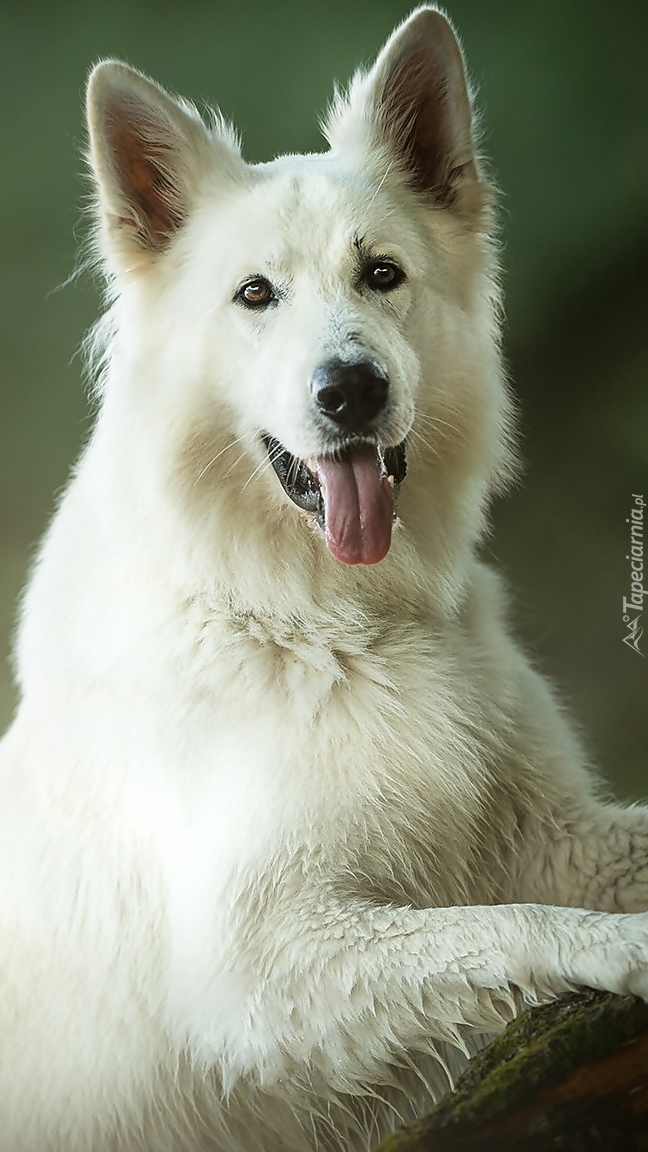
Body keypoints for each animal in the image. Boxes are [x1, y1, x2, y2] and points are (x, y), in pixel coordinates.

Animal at [1, 9, 645, 1152]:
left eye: (381, 274)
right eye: (256, 295)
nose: (351, 391)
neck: (320, 619)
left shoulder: (554, 836)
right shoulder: (260, 967)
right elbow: (498, 926)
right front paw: (625, 949)